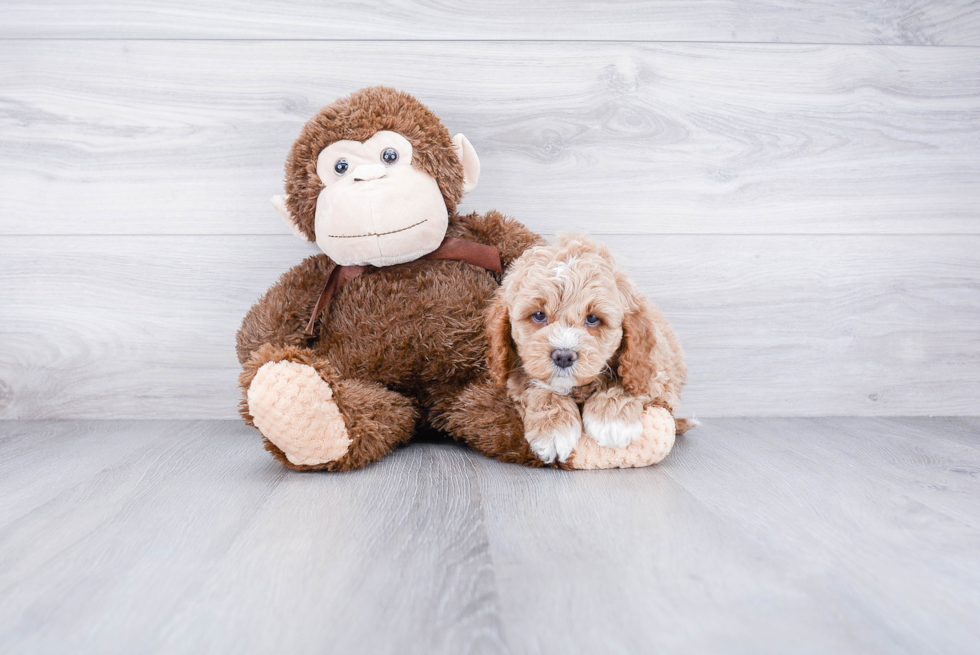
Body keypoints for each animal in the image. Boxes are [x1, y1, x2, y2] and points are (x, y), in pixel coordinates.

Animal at [484, 233, 684, 464]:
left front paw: (613, 422)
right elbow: (538, 386)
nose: (563, 356)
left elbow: (628, 382)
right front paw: (553, 429)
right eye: (539, 315)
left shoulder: (657, 376)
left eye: (593, 318)